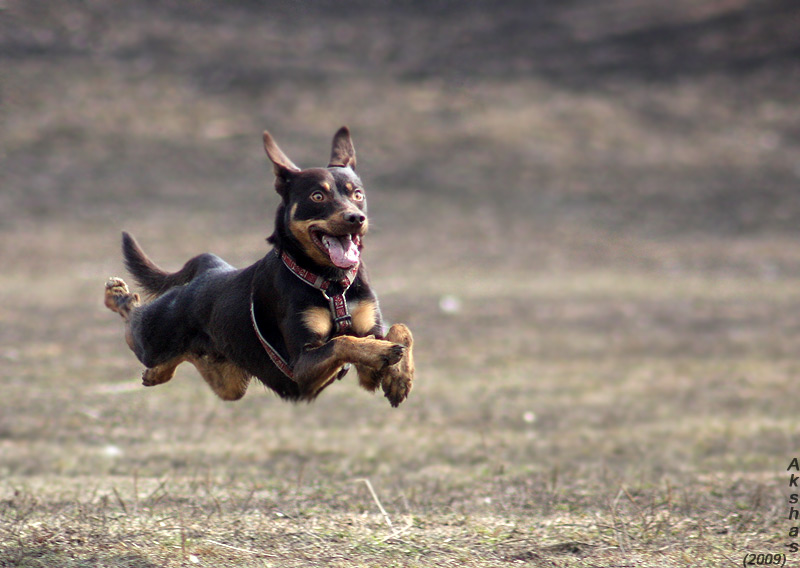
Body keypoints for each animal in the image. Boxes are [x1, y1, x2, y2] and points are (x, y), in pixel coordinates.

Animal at [104, 126, 412, 406]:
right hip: (154, 338)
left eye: (357, 194)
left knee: (190, 362)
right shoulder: (300, 368)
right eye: (317, 196)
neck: (331, 282)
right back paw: (118, 296)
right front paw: (386, 356)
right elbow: (342, 342)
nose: (356, 218)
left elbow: (400, 329)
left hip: (229, 379)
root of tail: (211, 268)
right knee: (133, 321)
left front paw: (399, 376)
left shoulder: (367, 362)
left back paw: (155, 373)